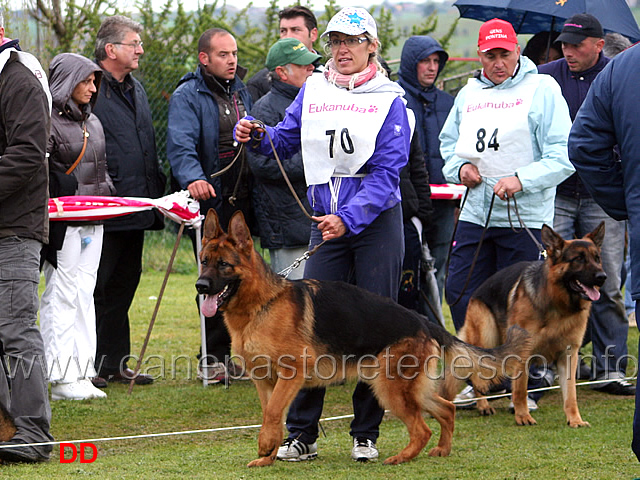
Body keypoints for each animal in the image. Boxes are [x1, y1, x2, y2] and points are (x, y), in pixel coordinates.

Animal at [198, 210, 532, 464]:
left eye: (224, 265)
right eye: (203, 261)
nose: (200, 286)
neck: (261, 304)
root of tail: (424, 322)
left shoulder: (291, 374)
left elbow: (272, 414)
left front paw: (265, 448)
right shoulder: (264, 381)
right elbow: (273, 415)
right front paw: (267, 457)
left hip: (389, 389)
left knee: (421, 428)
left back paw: (401, 458)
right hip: (411, 390)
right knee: (446, 410)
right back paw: (442, 450)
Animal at [440, 221, 604, 428]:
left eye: (597, 258)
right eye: (579, 259)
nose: (602, 276)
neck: (558, 305)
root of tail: (478, 290)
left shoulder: (568, 355)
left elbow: (570, 395)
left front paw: (575, 420)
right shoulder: (523, 353)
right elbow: (520, 390)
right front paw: (523, 416)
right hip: (486, 339)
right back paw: (483, 405)